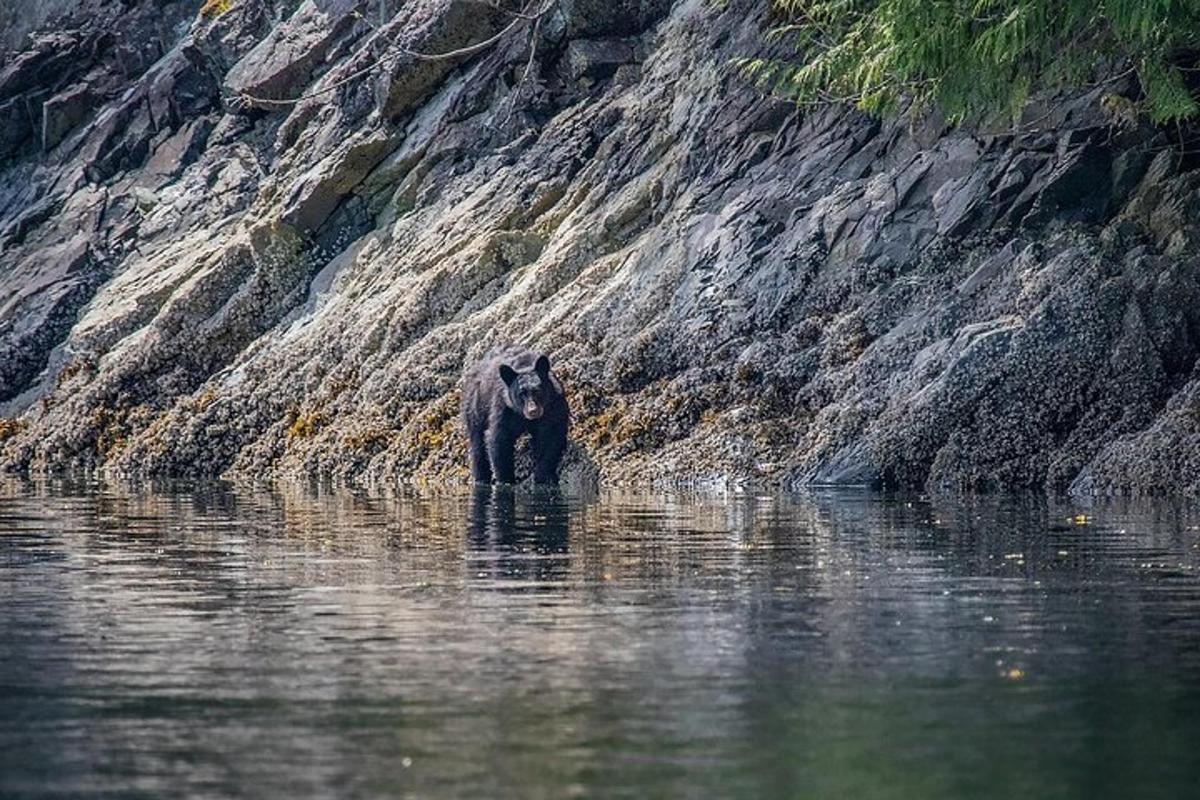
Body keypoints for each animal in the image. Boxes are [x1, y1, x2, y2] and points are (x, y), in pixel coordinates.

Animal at [461, 345, 569, 486]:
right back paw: (481, 478)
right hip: (476, 406)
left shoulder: (553, 406)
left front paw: (543, 476)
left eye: (537, 390)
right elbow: (499, 439)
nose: (533, 410)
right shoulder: (504, 408)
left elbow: (551, 437)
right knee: (477, 443)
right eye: (521, 394)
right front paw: (506, 480)